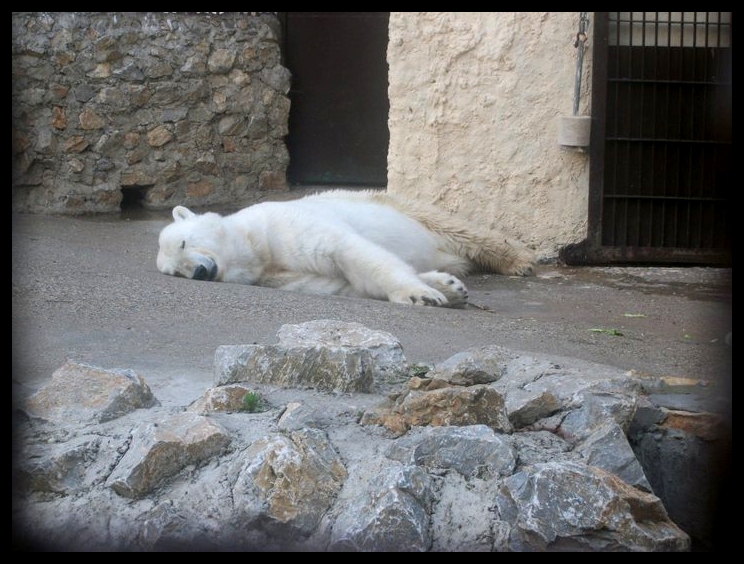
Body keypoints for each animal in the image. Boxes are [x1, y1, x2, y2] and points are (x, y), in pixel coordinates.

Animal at [158, 189, 536, 306]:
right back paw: (449, 280)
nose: (200, 271)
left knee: (461, 230)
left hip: (399, 207)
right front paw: (441, 290)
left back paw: (519, 261)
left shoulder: (284, 227)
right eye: (174, 272)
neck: (256, 245)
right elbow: (342, 285)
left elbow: (350, 252)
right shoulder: (278, 277)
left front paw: (420, 295)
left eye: (184, 241)